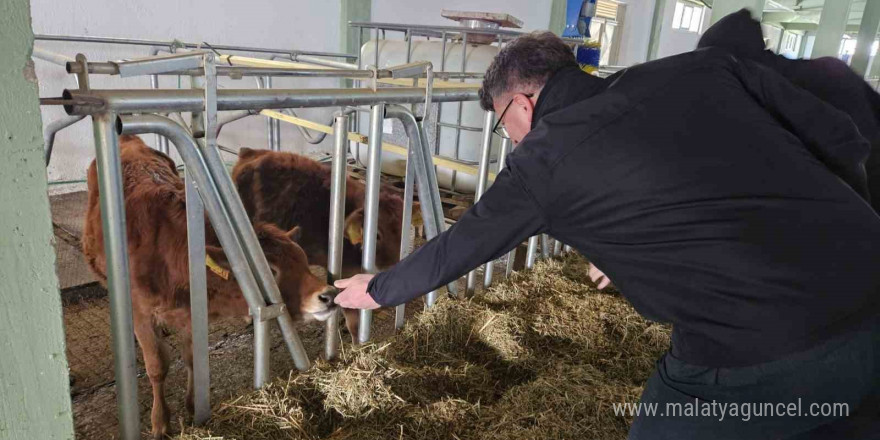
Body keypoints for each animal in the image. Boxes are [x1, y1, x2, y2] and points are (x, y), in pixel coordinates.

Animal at [81, 136, 336, 438]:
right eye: (270, 270)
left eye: (304, 259)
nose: (328, 294)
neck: (167, 250)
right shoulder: (141, 312)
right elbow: (157, 366)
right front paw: (160, 422)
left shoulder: (191, 312)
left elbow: (193, 358)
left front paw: (194, 407)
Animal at [232, 148, 422, 340]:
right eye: (376, 235)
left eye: (405, 228)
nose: (392, 266)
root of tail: (252, 152)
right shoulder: (345, 273)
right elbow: (353, 319)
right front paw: (358, 343)